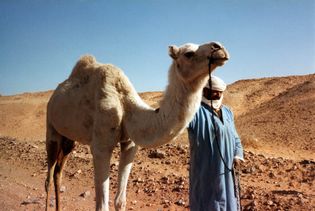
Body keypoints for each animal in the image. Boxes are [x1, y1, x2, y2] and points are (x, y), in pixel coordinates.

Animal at [45, 41, 230, 211]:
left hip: (69, 139)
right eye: (188, 54)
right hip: (51, 128)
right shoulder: (100, 148)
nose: (218, 47)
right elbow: (102, 206)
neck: (125, 105)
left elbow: (120, 201)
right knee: (48, 176)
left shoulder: (130, 145)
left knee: (58, 173)